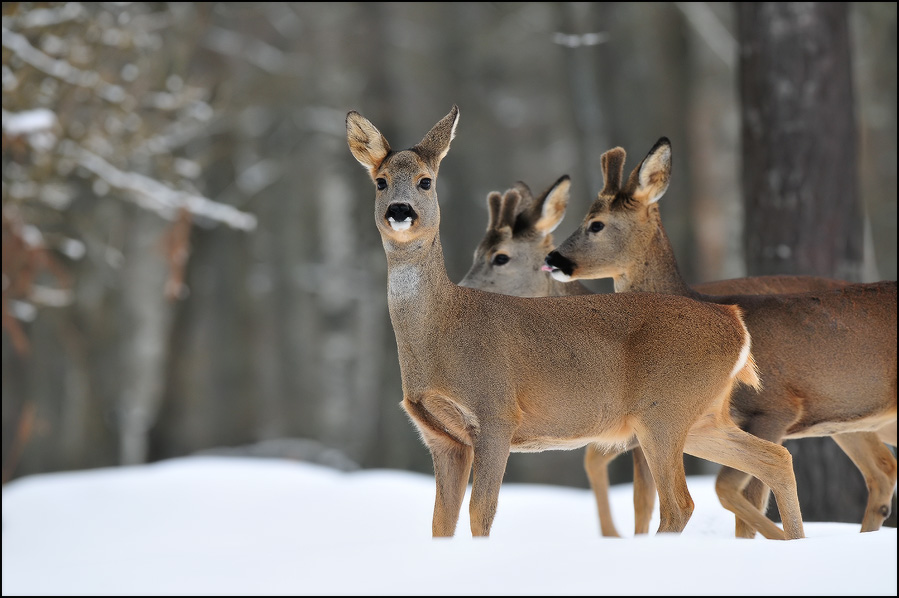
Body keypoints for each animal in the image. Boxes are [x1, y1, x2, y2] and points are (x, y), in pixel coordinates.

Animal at [460, 177, 848, 540]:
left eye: (500, 257)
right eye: (476, 251)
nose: (464, 290)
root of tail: (737, 325)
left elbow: (636, 494)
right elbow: (619, 482)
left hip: (671, 415)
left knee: (687, 500)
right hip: (705, 420)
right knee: (776, 460)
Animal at [544, 139, 896, 540]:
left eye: (596, 224)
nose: (553, 258)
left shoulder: (774, 408)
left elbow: (738, 495)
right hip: (851, 420)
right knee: (882, 471)